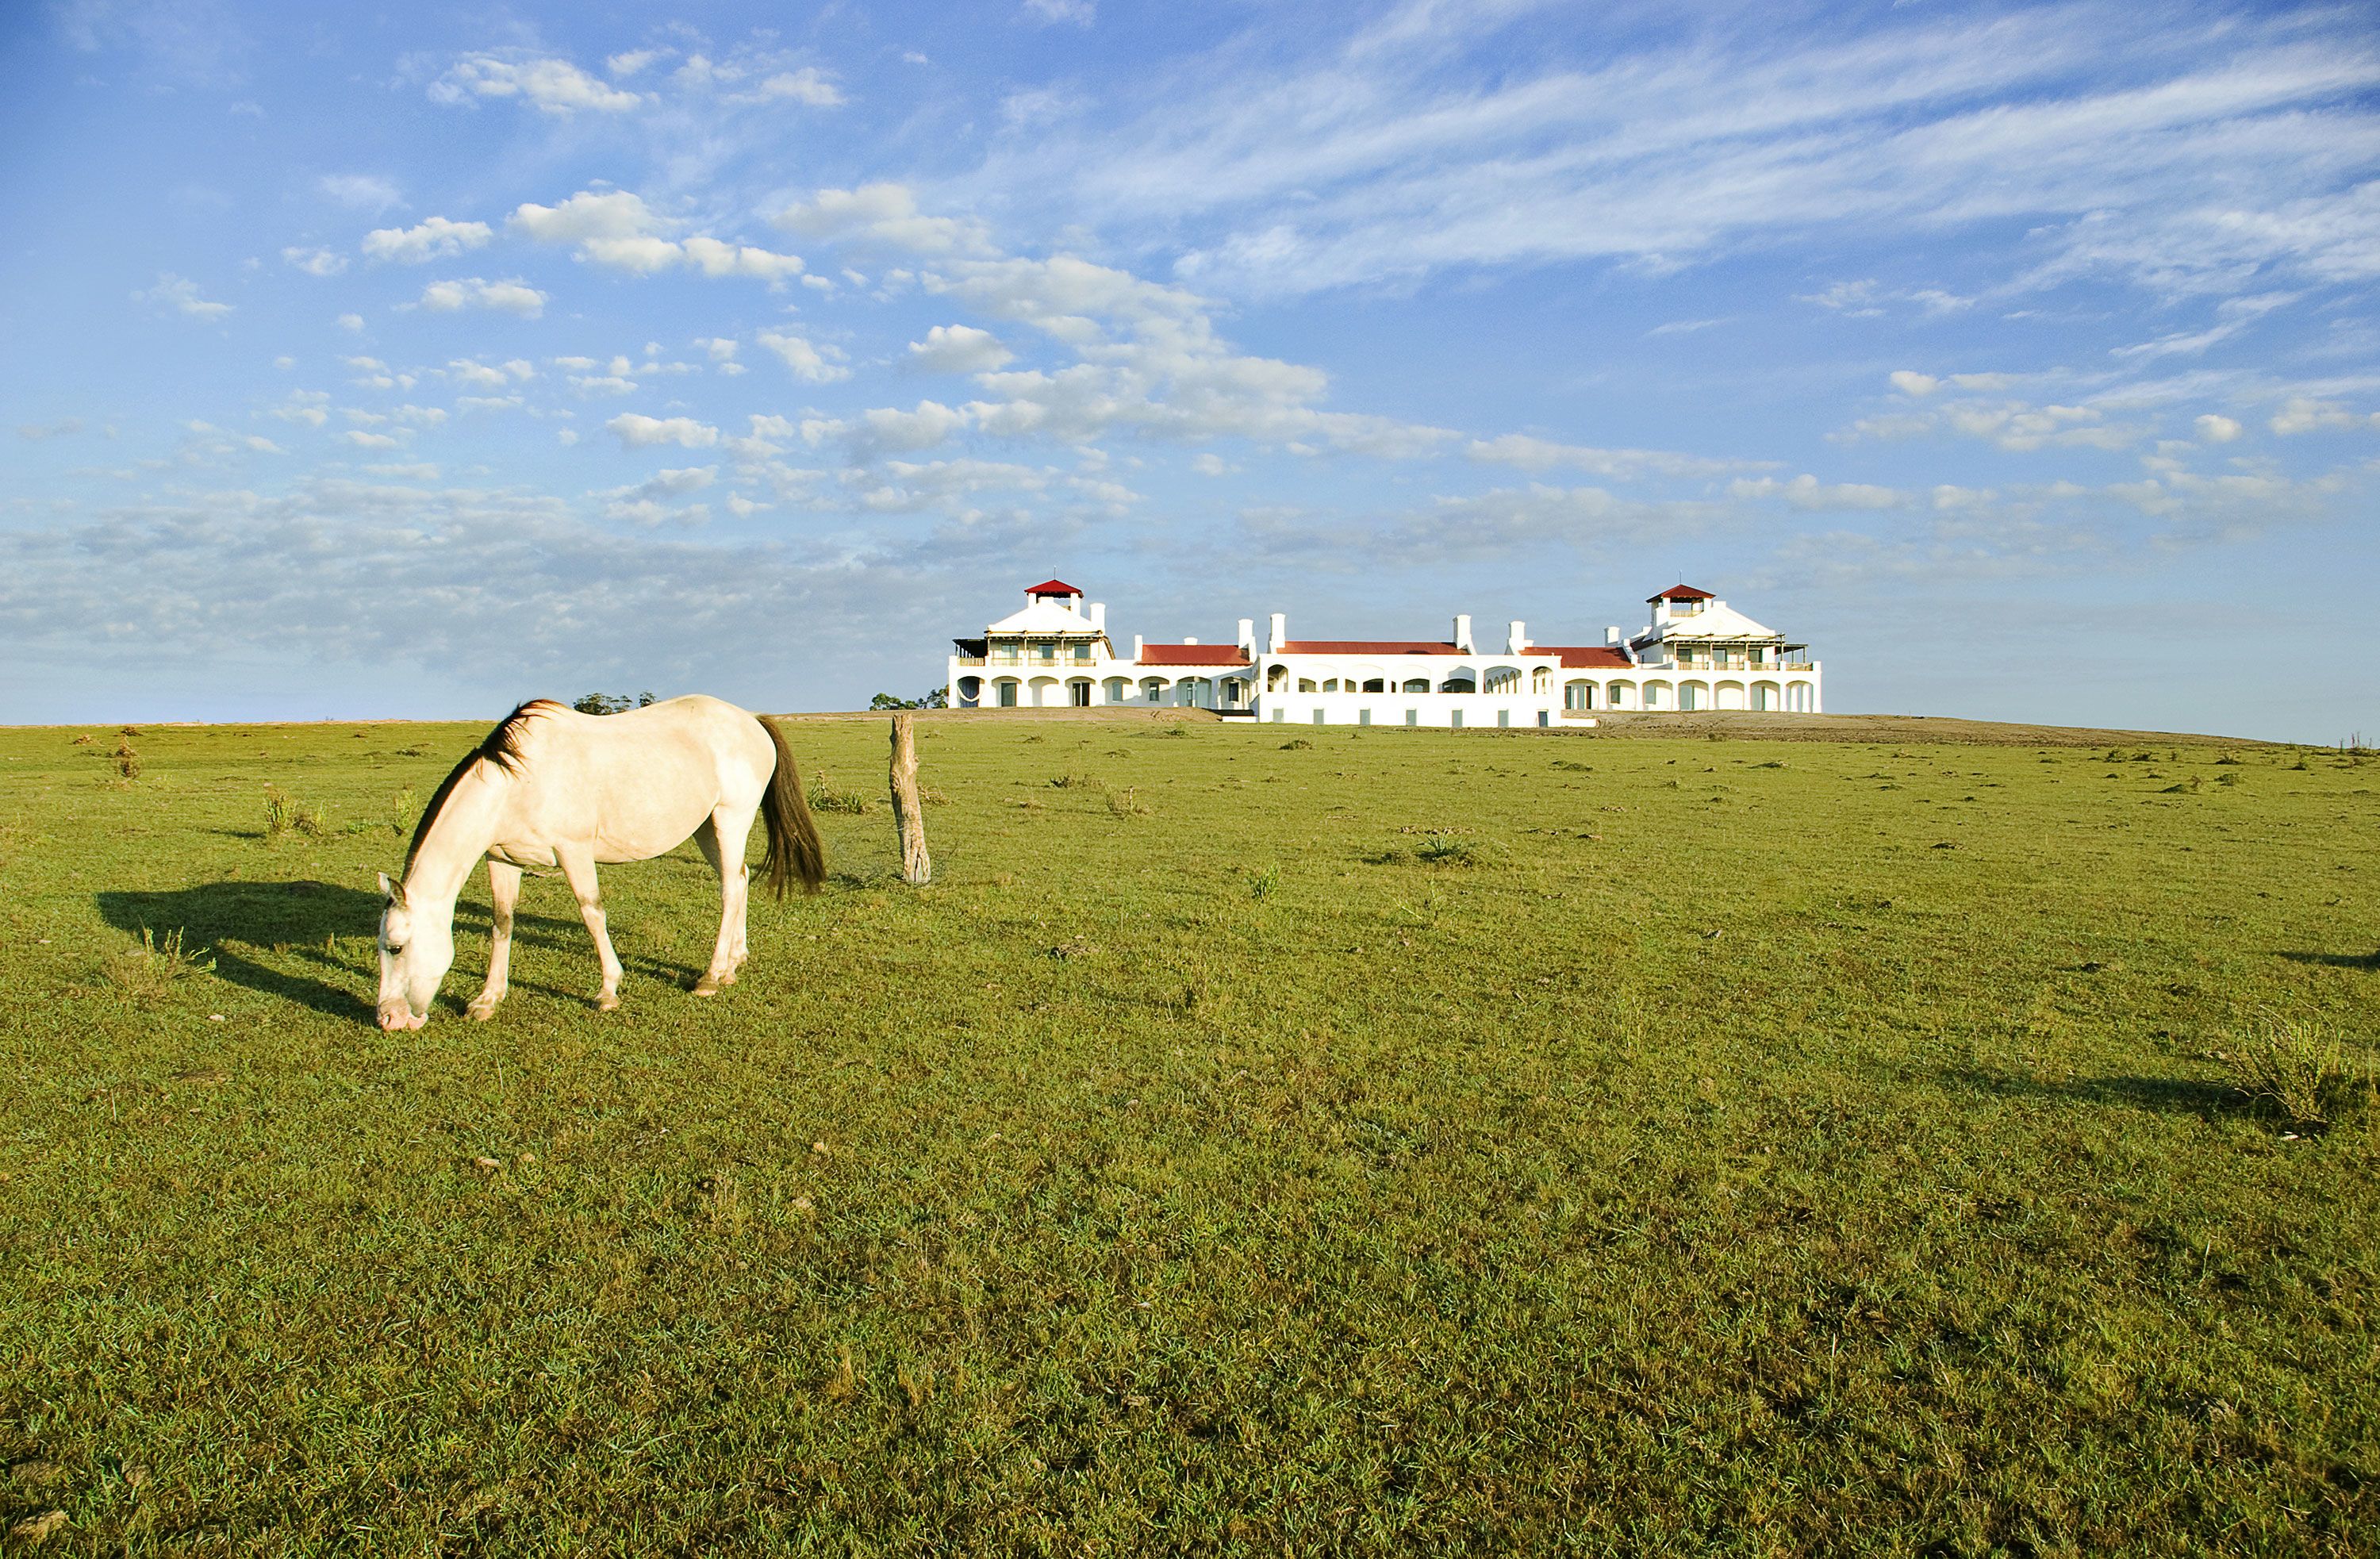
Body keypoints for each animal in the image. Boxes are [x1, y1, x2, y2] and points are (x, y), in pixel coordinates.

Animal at [367, 700, 823, 1033]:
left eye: (395, 947)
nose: (388, 1019)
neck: (519, 783)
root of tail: (752, 721)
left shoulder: (574, 852)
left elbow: (591, 913)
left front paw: (608, 990)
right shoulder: (501, 859)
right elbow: (502, 922)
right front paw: (488, 999)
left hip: (731, 820)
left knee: (729, 889)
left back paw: (711, 976)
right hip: (707, 828)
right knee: (740, 879)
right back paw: (734, 961)